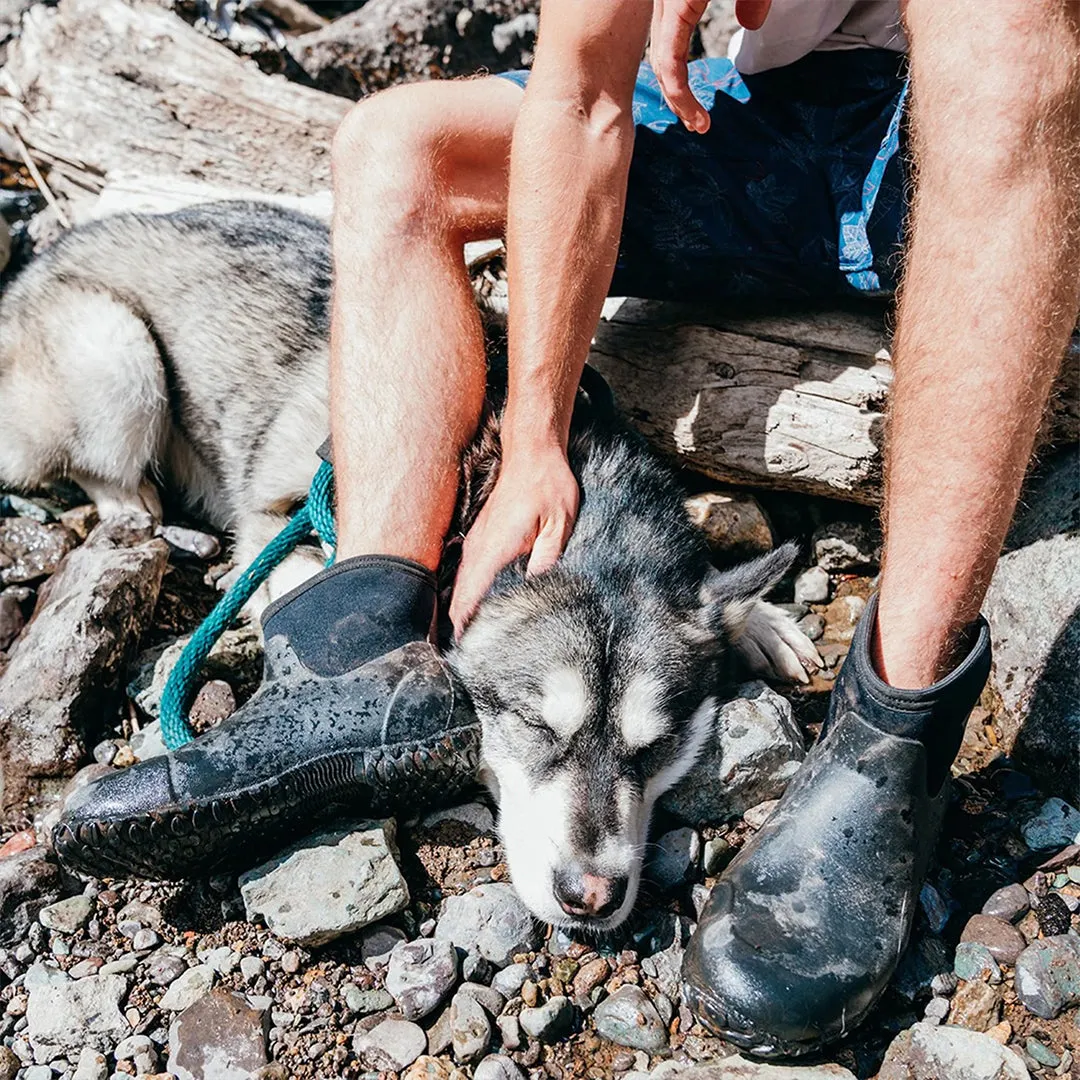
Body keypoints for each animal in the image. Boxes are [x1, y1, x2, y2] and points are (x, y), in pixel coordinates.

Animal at [2, 203, 816, 928]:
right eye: (534, 725)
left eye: (655, 750)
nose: (591, 897)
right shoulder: (274, 523)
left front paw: (762, 621)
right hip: (120, 358)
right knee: (98, 468)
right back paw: (140, 510)